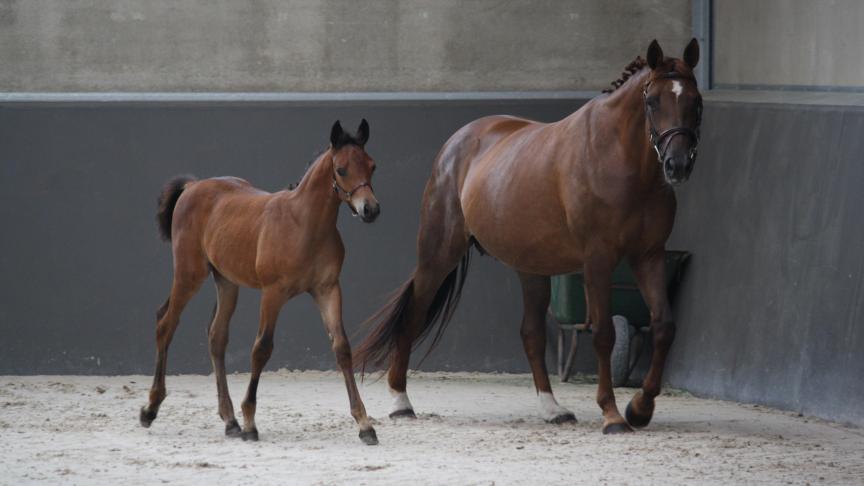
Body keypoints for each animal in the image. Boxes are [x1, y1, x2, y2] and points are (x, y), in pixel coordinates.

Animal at [141, 118, 382, 444]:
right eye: (342, 169)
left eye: (372, 166)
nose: (370, 209)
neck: (304, 224)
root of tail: (192, 186)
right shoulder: (273, 293)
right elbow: (261, 348)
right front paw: (250, 422)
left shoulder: (328, 289)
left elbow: (342, 348)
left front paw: (364, 424)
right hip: (189, 275)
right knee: (166, 323)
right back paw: (151, 409)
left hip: (226, 282)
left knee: (216, 337)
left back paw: (229, 420)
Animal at [356, 39, 704, 432]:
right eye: (653, 101)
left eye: (695, 101)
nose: (678, 164)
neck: (620, 159)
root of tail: (456, 144)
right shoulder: (598, 261)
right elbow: (603, 334)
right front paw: (613, 414)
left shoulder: (649, 256)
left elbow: (664, 327)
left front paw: (640, 408)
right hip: (438, 254)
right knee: (413, 316)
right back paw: (401, 401)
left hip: (531, 268)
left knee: (532, 334)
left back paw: (553, 409)